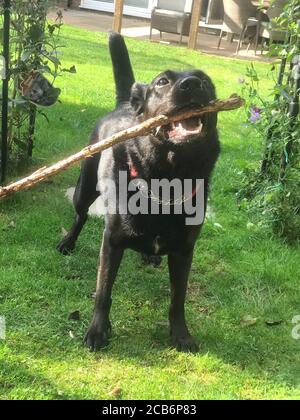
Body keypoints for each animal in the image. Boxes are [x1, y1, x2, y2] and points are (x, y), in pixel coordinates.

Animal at [58, 32, 220, 352]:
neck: (166, 181)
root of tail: (124, 104)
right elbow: (103, 292)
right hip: (85, 187)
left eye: (205, 80)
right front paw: (97, 331)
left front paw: (181, 335)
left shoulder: (184, 250)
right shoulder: (111, 242)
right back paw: (68, 242)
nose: (191, 84)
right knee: (80, 215)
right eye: (162, 82)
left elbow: (178, 299)